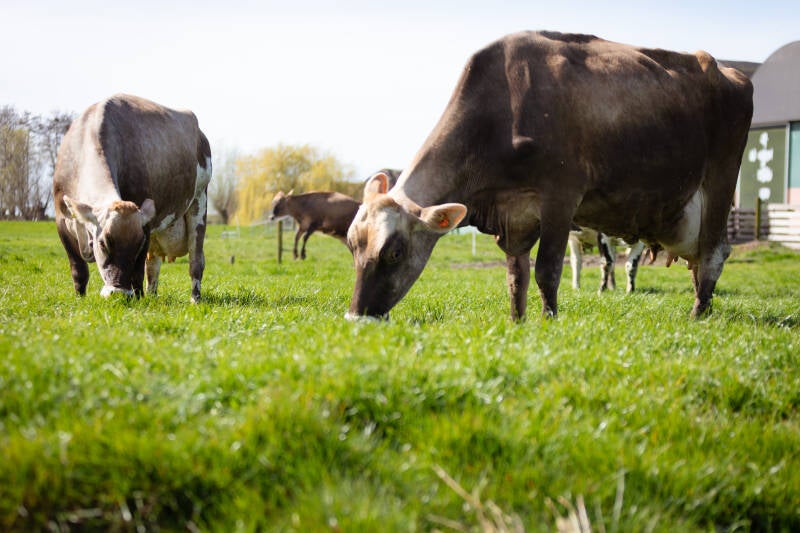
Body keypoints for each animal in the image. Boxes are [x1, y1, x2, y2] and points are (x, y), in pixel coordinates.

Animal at [53, 94, 212, 302]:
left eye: (137, 245)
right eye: (103, 243)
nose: (119, 293)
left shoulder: (145, 226)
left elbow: (137, 271)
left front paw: (137, 297)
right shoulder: (62, 220)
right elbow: (78, 270)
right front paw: (80, 298)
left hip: (199, 202)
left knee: (196, 261)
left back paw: (195, 299)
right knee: (153, 266)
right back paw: (152, 296)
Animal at [346, 31, 753, 321]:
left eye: (395, 252)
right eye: (352, 244)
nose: (356, 318)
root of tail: (728, 71)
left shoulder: (561, 197)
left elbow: (547, 270)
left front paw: (548, 321)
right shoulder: (514, 215)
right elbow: (516, 278)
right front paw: (518, 321)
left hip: (719, 184)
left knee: (714, 254)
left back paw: (698, 315)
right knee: (699, 262)